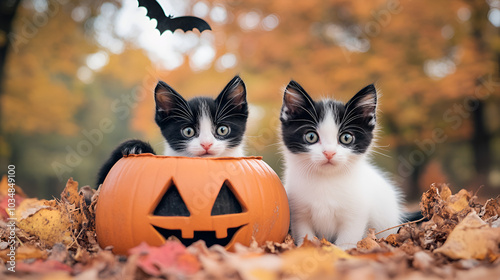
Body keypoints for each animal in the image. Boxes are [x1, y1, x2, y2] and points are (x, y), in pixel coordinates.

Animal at [280, 80, 404, 249]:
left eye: (346, 138)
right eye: (311, 136)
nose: (329, 153)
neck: (325, 180)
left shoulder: (355, 214)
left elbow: (347, 239)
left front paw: (342, 252)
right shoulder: (298, 212)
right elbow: (305, 234)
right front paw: (307, 248)